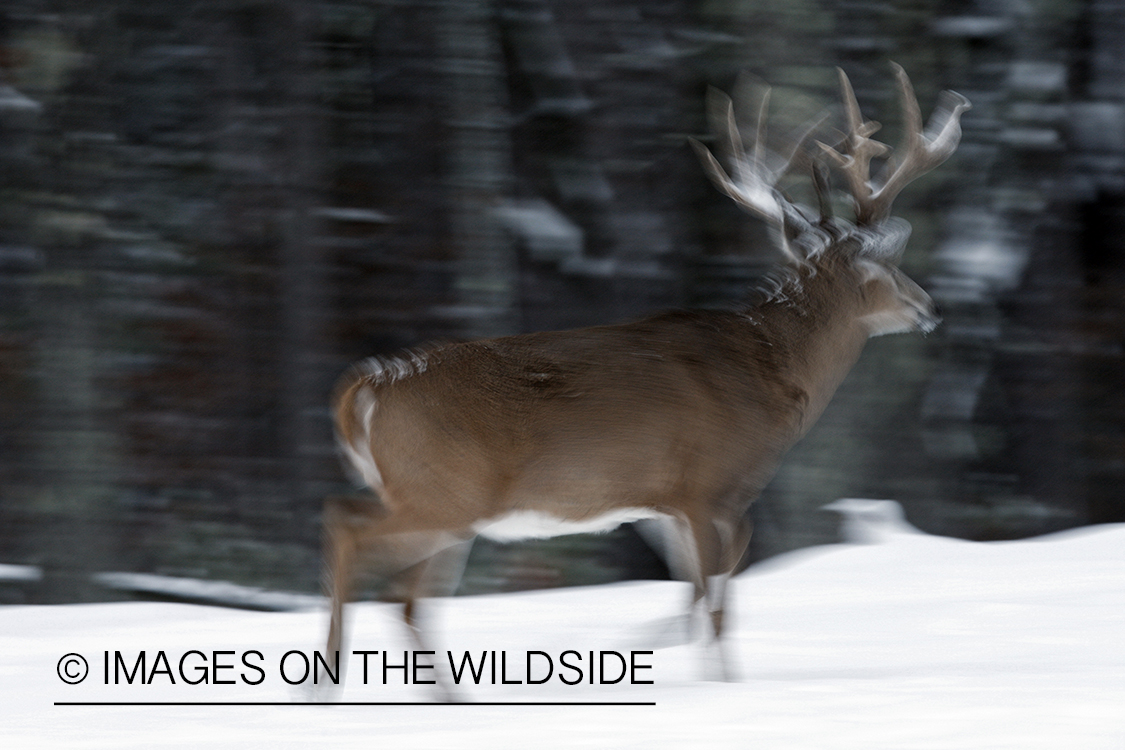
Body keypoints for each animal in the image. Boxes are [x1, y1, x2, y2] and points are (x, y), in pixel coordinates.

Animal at [321, 62, 972, 692]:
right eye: (887, 263)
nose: (931, 308)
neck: (769, 368)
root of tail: (366, 386)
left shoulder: (665, 505)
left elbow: (697, 596)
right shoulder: (713, 487)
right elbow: (716, 604)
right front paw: (724, 687)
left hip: (442, 504)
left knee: (404, 598)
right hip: (444, 490)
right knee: (352, 532)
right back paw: (329, 680)